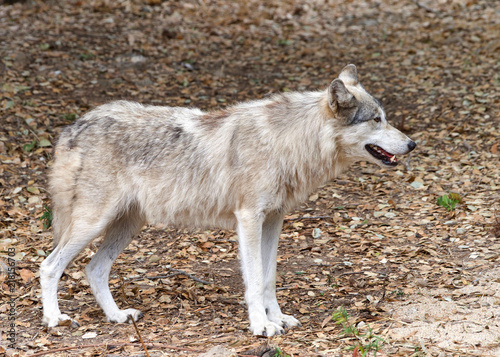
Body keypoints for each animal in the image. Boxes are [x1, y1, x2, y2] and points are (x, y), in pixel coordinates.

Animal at [39, 64, 416, 336]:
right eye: (377, 119)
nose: (412, 144)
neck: (288, 143)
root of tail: (75, 125)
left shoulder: (274, 220)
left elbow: (269, 277)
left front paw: (279, 318)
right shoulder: (248, 219)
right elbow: (254, 279)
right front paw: (262, 326)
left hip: (127, 226)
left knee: (94, 269)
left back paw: (117, 316)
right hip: (93, 223)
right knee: (49, 266)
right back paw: (56, 320)